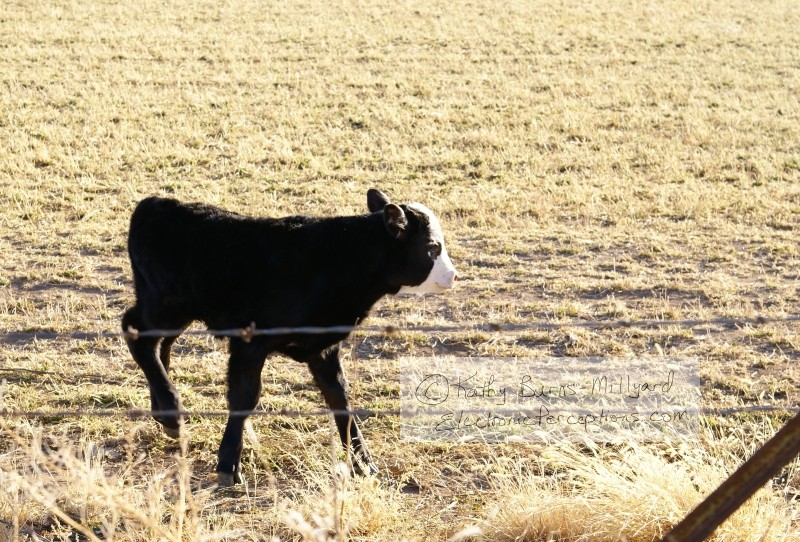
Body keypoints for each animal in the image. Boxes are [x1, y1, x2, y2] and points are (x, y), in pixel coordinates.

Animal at [121, 189, 457, 485]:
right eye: (431, 247)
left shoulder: (323, 349)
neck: (338, 259)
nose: (453, 275)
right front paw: (229, 465)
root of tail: (155, 204)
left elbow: (340, 398)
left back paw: (163, 411)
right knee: (136, 334)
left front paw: (364, 463)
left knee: (158, 345)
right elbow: (244, 397)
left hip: (173, 312)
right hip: (164, 306)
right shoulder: (249, 343)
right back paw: (171, 410)